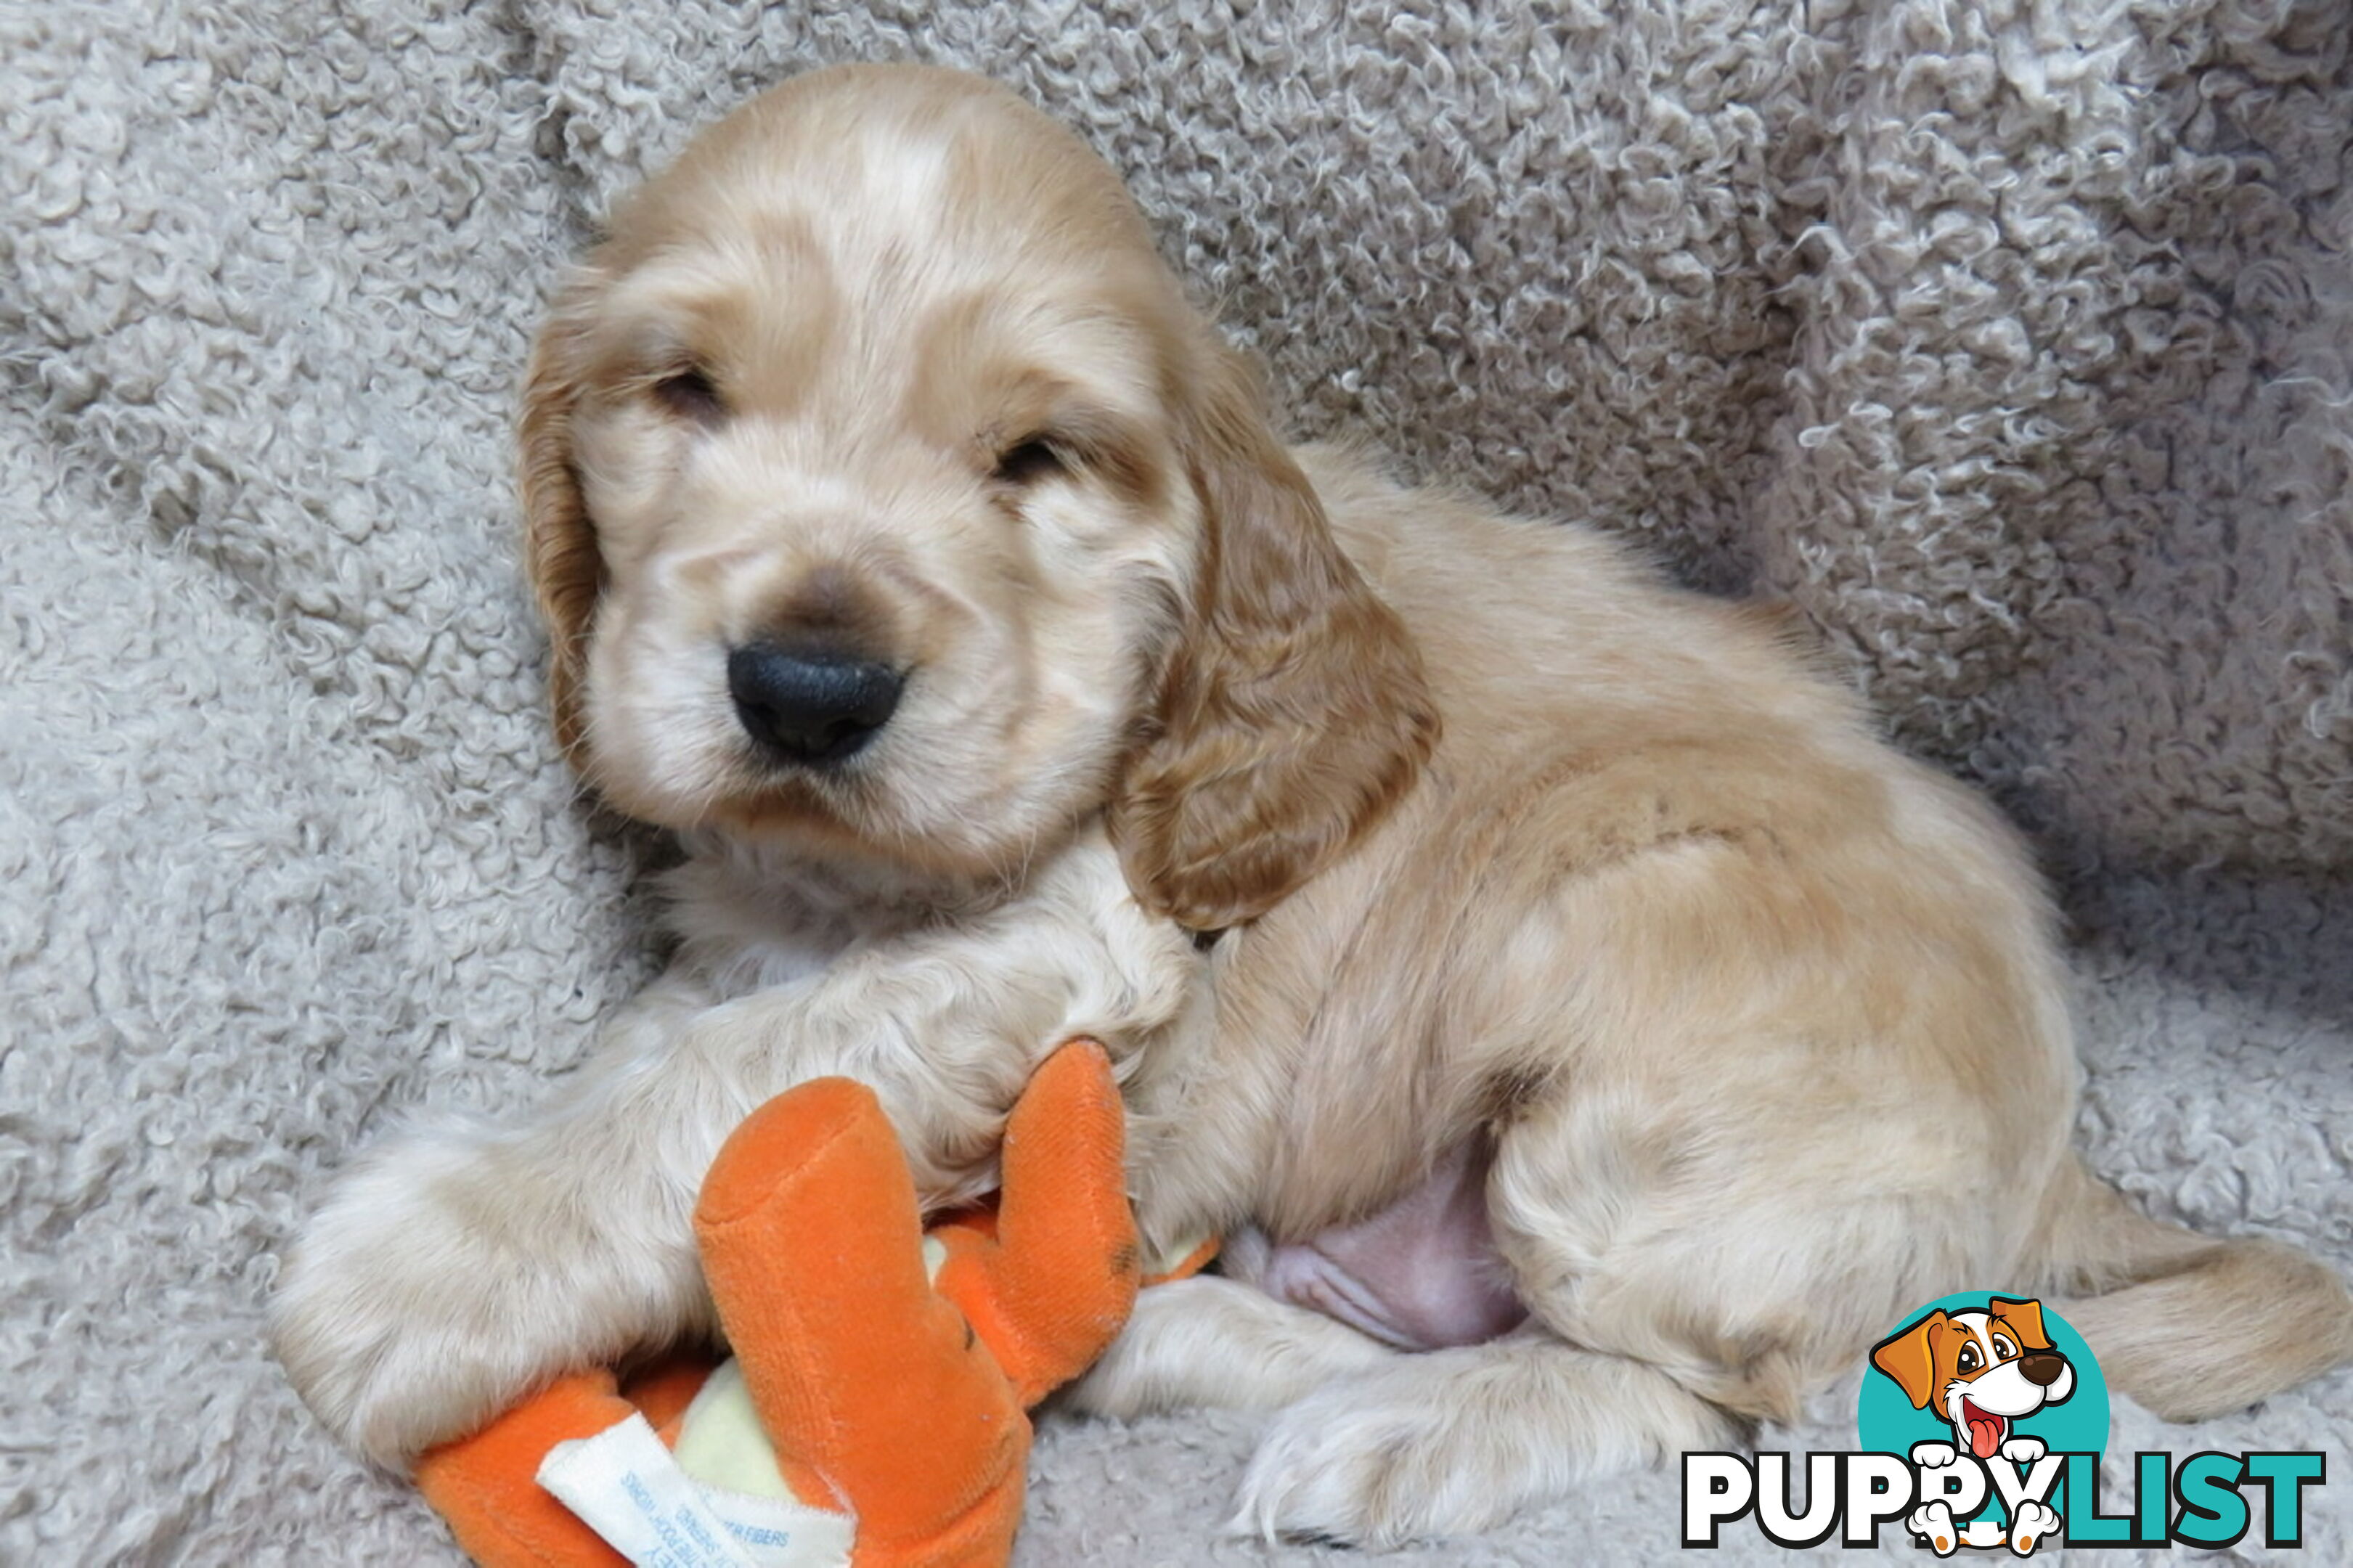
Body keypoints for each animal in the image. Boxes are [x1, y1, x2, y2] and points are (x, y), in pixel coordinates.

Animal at [270, 57, 2334, 1535]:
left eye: (1035, 457)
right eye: (684, 392)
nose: (806, 689)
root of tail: (2058, 1163)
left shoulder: (1079, 933)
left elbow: (749, 1078)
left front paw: (425, 1261)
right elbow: (687, 1035)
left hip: (1624, 989)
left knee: (1761, 1400)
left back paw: (1384, 1434)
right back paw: (1154, 1331)